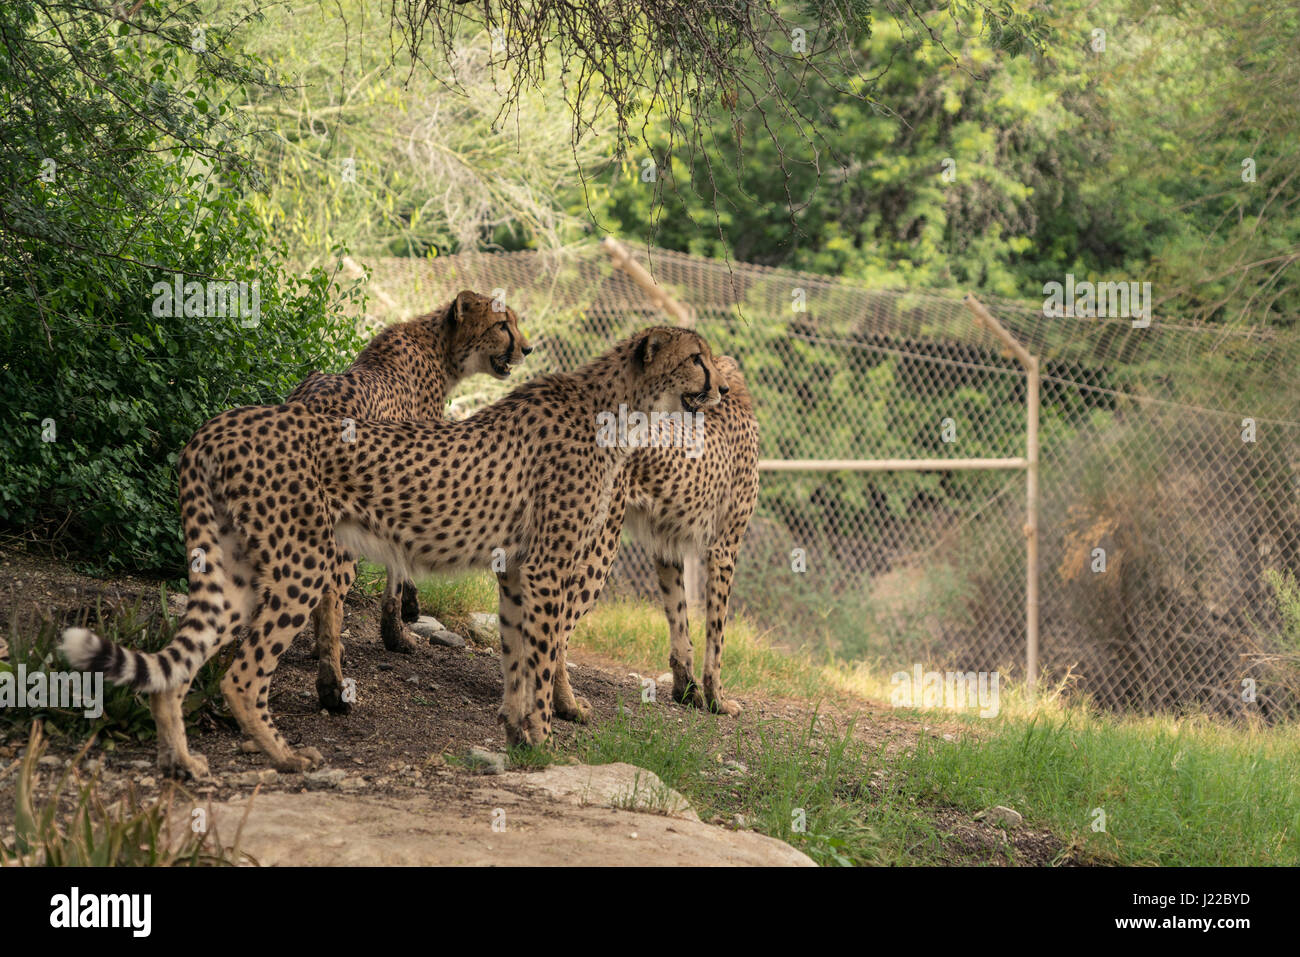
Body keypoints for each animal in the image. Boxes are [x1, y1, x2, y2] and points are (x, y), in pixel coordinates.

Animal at [61, 325, 728, 774]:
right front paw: (541, 737)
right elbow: (539, 657)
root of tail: (220, 423)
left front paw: (518, 734)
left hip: (233, 571)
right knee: (243, 675)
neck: (622, 408)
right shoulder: (544, 568)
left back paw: (183, 764)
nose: (722, 386)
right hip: (300, 563)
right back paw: (287, 757)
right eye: (695, 358)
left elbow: (518, 657)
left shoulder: (514, 571)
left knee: (176, 667)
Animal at [553, 356, 759, 722]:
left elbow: (679, 619)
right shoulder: (725, 548)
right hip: (602, 543)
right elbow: (716, 634)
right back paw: (569, 705)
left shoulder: (667, 546)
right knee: (560, 626)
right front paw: (718, 700)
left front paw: (687, 691)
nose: (720, 389)